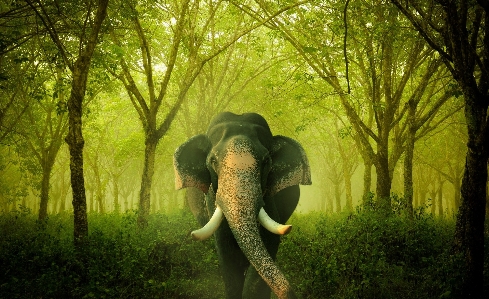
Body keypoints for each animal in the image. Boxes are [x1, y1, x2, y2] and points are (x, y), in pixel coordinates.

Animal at [173, 112, 310, 299]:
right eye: (213, 160)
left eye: (266, 161)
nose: (291, 294)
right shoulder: (212, 198)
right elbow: (225, 250)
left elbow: (269, 240)